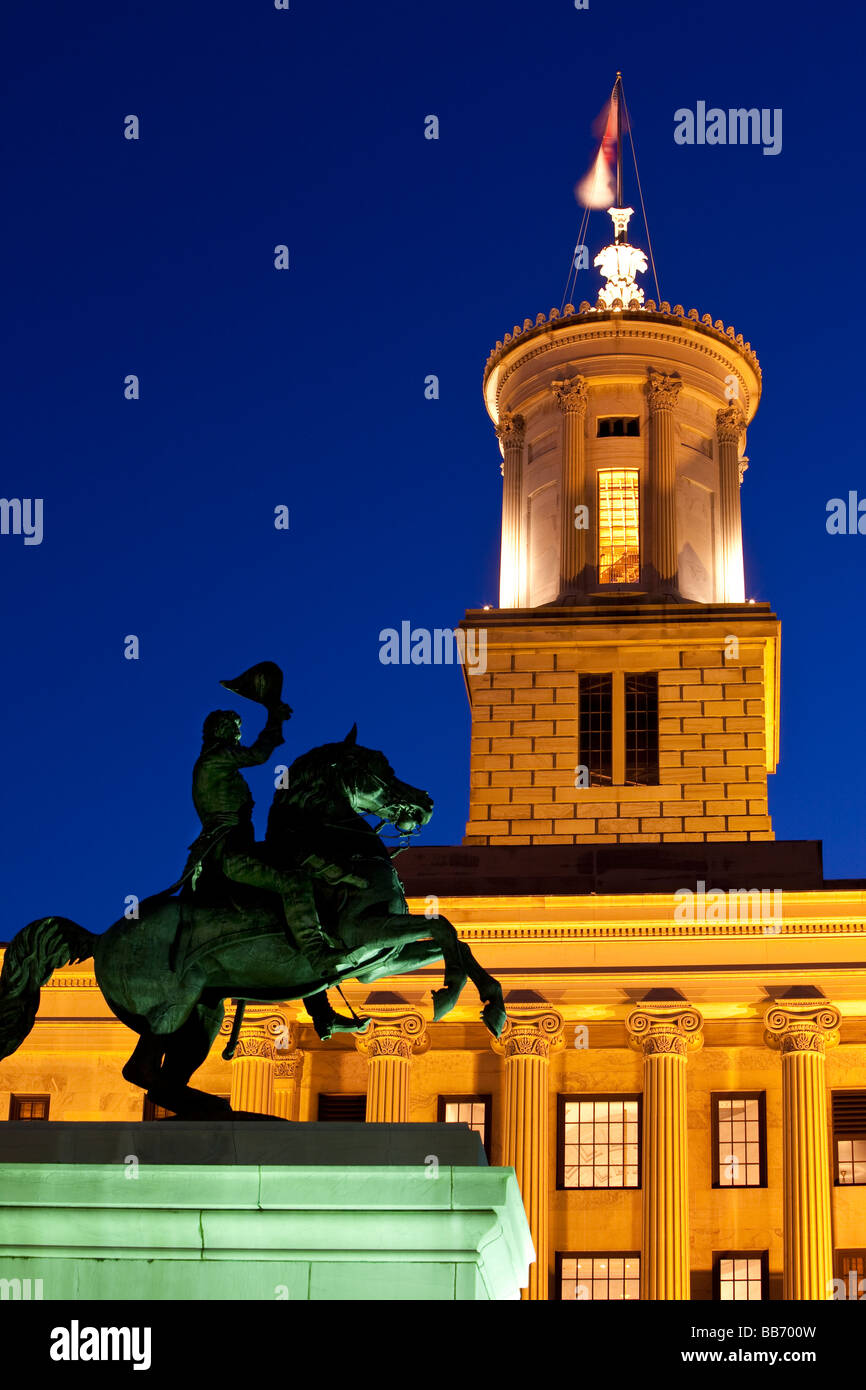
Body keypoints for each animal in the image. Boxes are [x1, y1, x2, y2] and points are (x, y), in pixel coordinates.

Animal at [0, 728, 505, 1117]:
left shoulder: (377, 962)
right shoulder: (365, 934)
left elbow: (454, 939)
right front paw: (450, 996)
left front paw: (488, 1005)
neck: (342, 850)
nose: (424, 803)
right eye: (377, 765)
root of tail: (101, 936)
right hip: (171, 1010)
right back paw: (228, 1109)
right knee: (143, 1073)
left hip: (203, 1013)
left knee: (162, 1078)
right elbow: (445, 929)